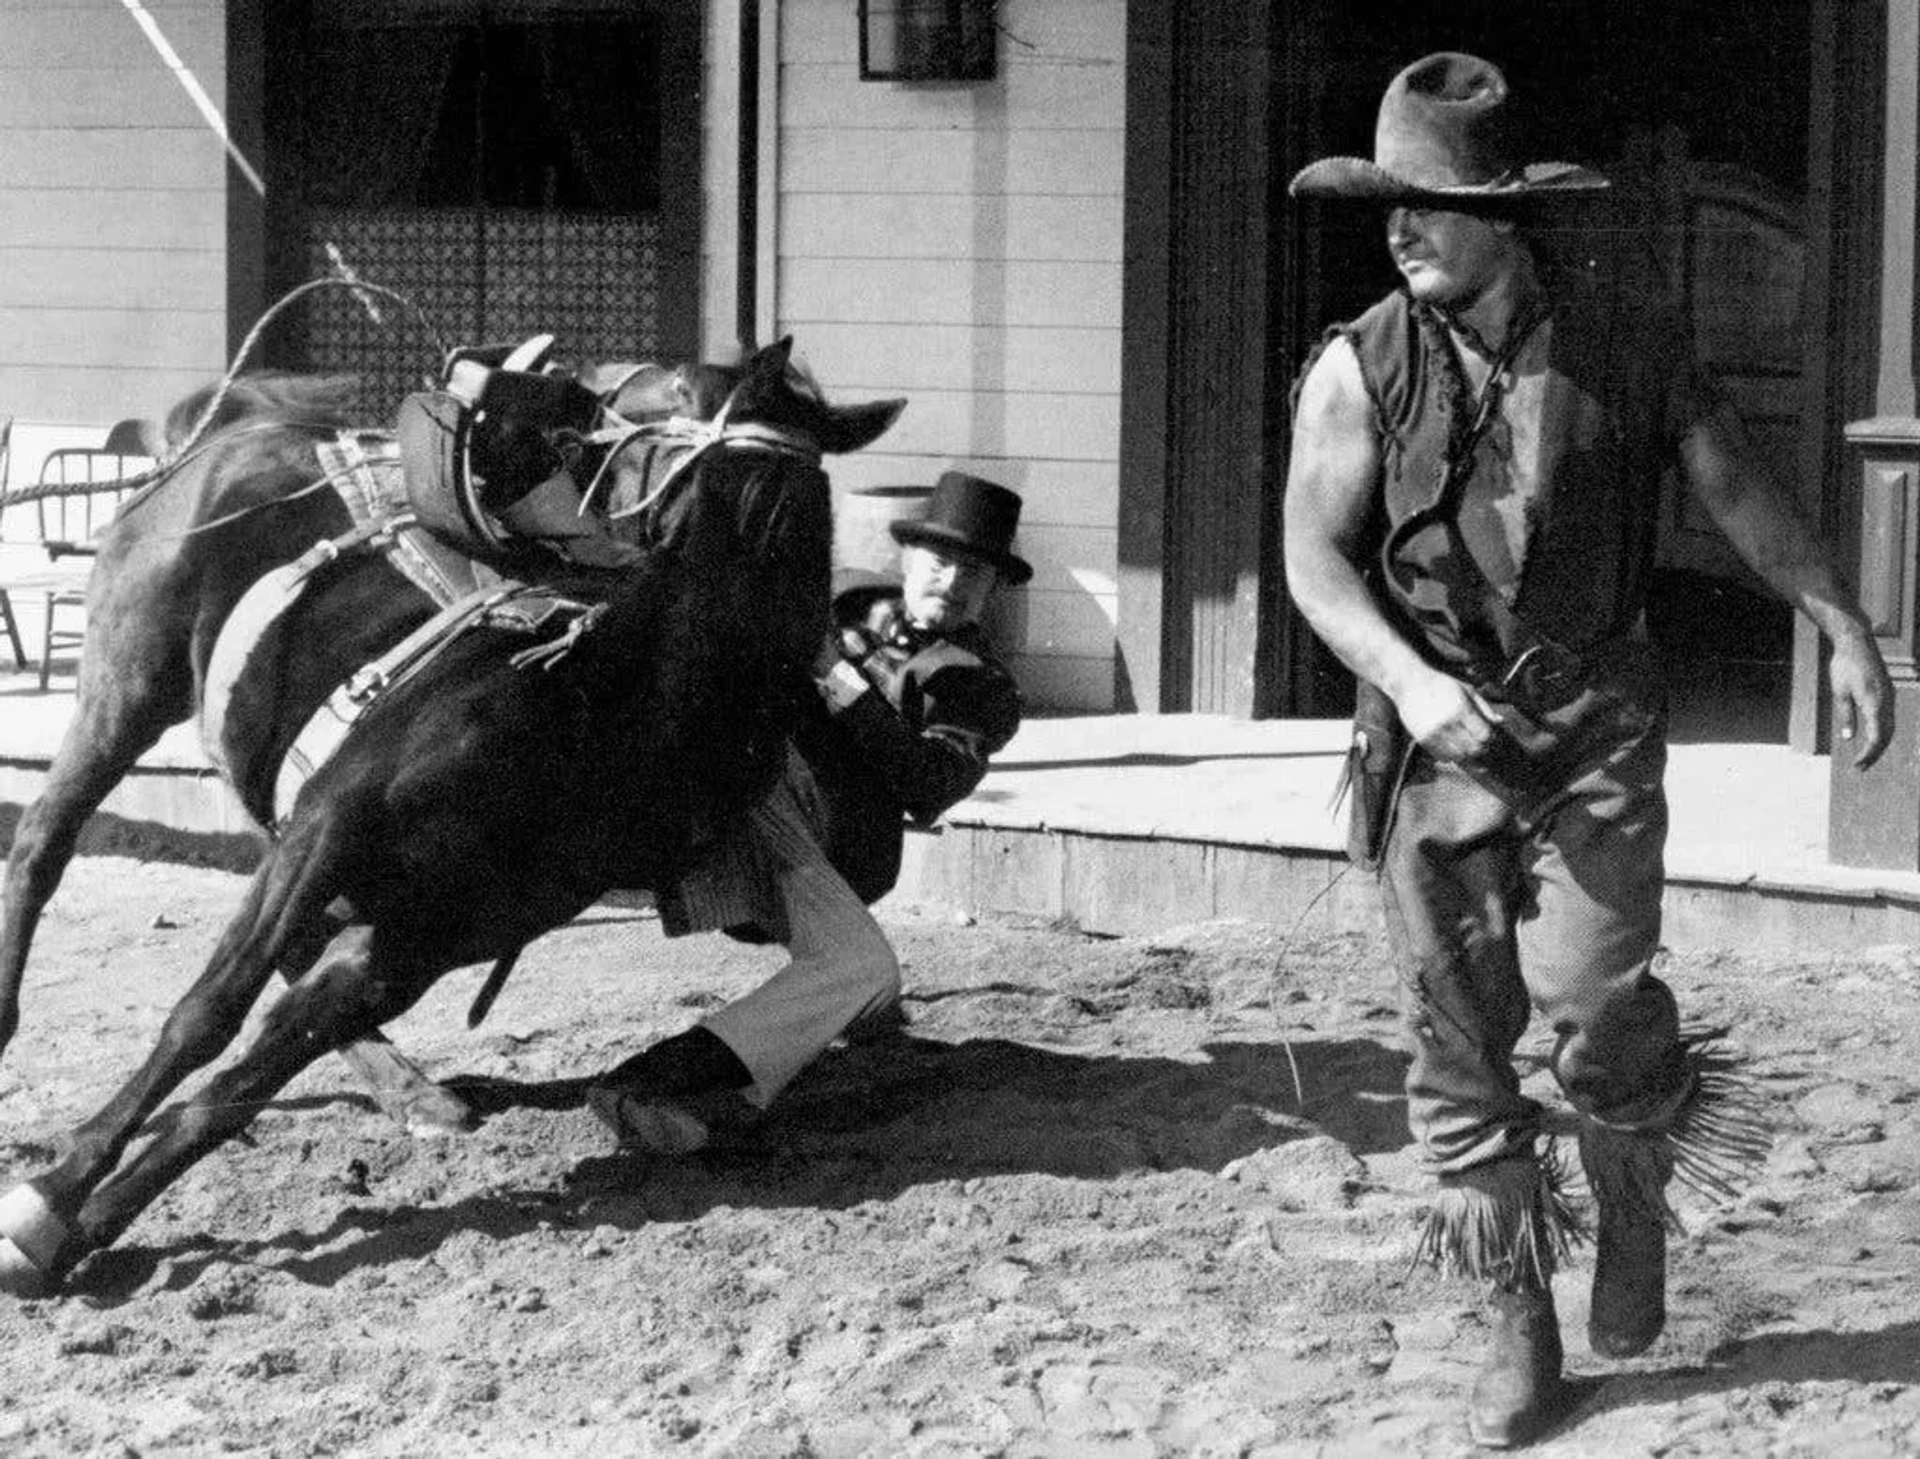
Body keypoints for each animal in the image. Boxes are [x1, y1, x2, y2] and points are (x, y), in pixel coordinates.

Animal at [0, 335, 902, 1290]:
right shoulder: (331, 825)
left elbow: (264, 1060)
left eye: (656, 387)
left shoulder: (424, 938)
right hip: (128, 681)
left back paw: (412, 1091)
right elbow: (204, 1015)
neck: (594, 711)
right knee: (42, 844)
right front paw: (51, 1194)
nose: (563, 392)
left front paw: (90, 1223)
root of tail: (239, 427)